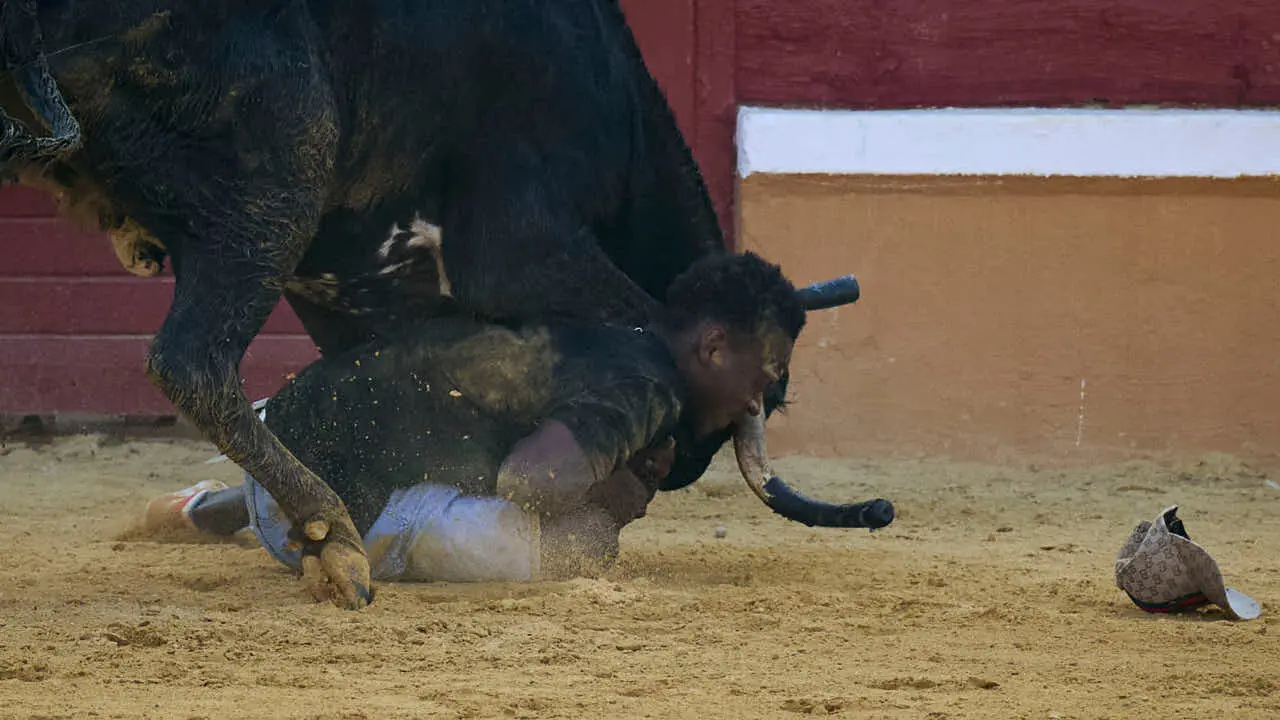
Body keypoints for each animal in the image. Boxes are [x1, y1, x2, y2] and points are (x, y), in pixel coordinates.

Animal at [1, 0, 882, 610]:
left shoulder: (356, 300)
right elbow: (633, 326)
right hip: (285, 161)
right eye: (762, 386)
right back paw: (333, 540)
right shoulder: (524, 250)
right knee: (191, 360)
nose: (684, 460)